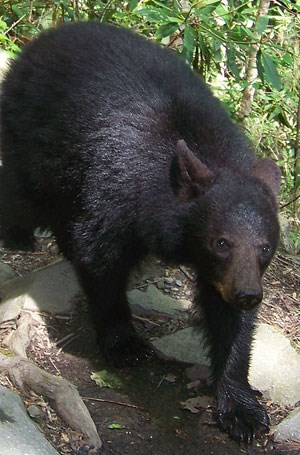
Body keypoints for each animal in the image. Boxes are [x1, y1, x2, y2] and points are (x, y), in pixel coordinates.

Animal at [0, 22, 282, 446]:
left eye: (265, 247)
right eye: (221, 242)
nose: (249, 295)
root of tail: (47, 36)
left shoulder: (229, 273)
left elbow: (230, 323)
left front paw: (241, 409)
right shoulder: (114, 186)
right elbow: (100, 256)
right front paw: (125, 343)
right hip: (31, 134)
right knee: (22, 191)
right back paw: (18, 234)